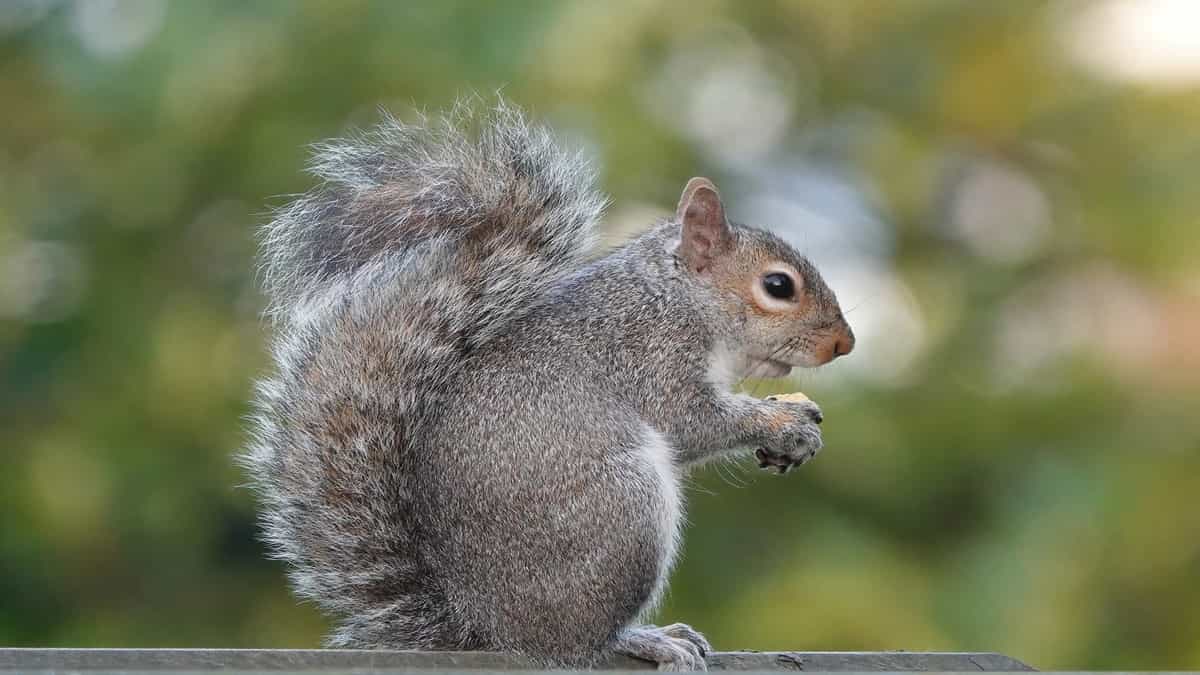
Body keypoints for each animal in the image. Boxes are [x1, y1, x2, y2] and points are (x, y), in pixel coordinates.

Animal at [243, 100, 859, 667]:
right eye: (778, 286)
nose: (844, 344)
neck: (677, 298)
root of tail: (486, 627)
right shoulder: (651, 359)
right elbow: (692, 423)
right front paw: (785, 424)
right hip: (620, 512)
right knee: (576, 645)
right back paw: (642, 639)